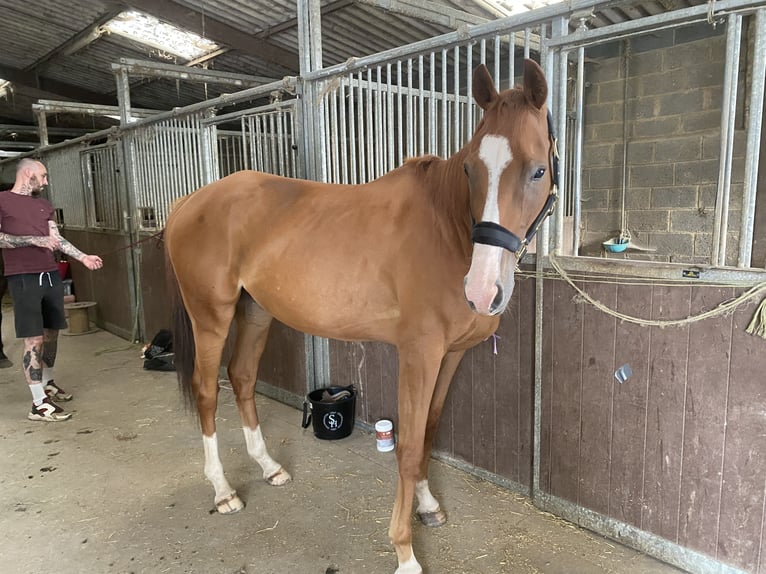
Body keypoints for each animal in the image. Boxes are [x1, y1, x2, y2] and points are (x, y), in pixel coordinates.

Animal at [164, 58, 557, 574]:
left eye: (538, 170)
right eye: (471, 168)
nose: (481, 290)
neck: (446, 230)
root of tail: (189, 201)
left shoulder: (450, 356)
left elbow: (429, 431)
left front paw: (427, 505)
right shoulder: (418, 355)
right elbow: (408, 447)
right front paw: (404, 550)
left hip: (256, 312)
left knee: (243, 377)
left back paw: (269, 468)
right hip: (211, 315)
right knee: (208, 391)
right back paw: (224, 491)